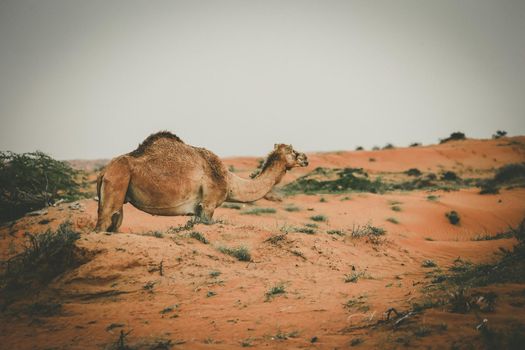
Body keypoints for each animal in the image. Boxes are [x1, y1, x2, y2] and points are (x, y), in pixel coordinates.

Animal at [95, 130, 308, 231]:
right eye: (292, 151)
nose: (305, 158)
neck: (230, 181)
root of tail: (104, 171)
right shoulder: (208, 205)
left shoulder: (197, 209)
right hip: (117, 183)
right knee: (104, 223)